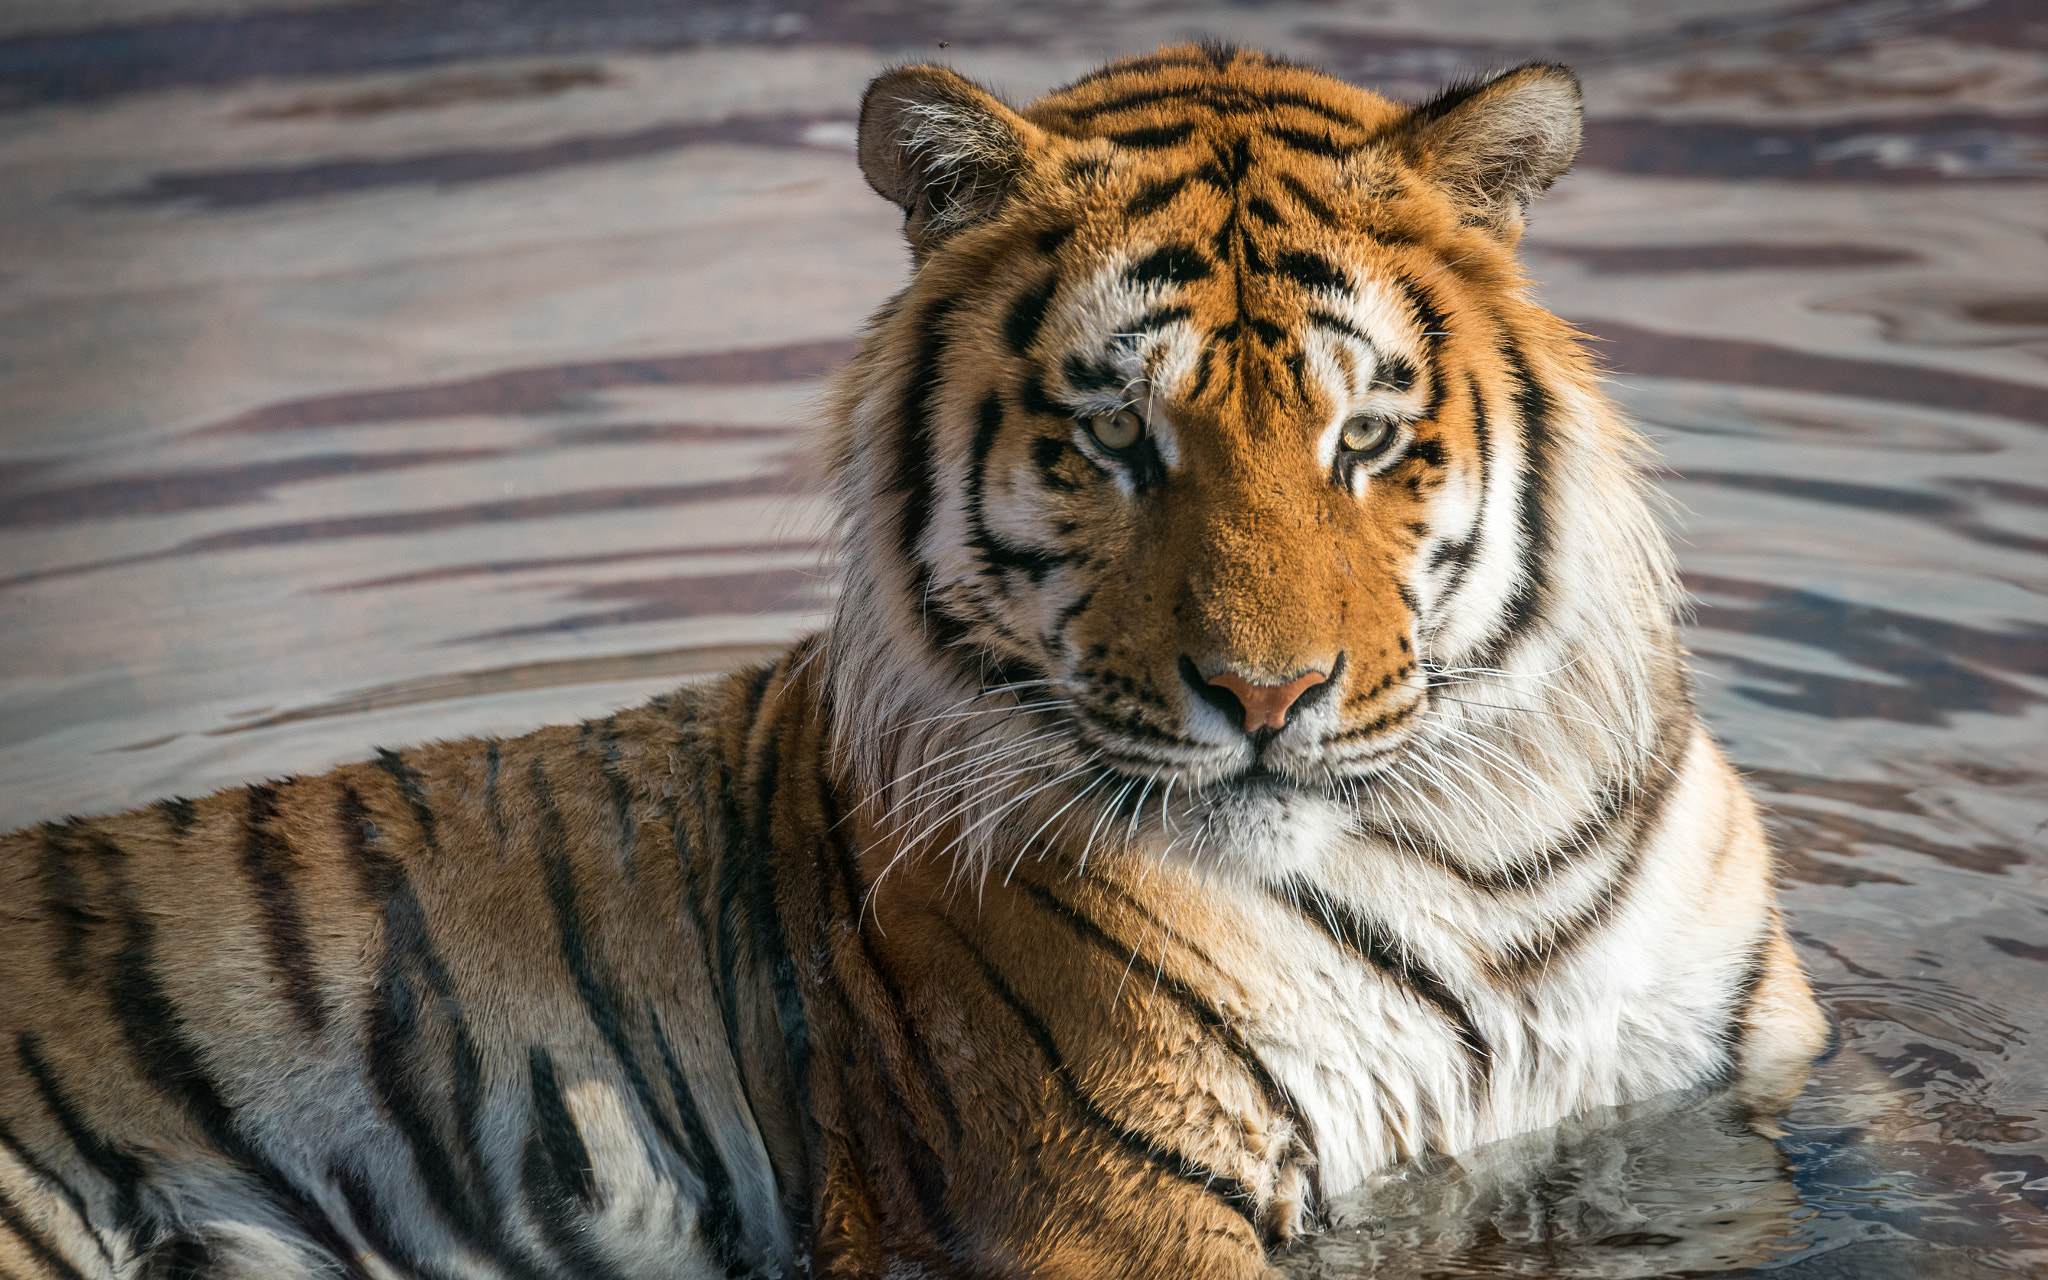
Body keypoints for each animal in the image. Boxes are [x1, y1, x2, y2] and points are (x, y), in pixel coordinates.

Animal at [0, 44, 1829, 1280]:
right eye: (1117, 438)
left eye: (1363, 438)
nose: (1265, 701)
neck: (1476, 857)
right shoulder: (1100, 1211)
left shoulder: (1731, 1096)